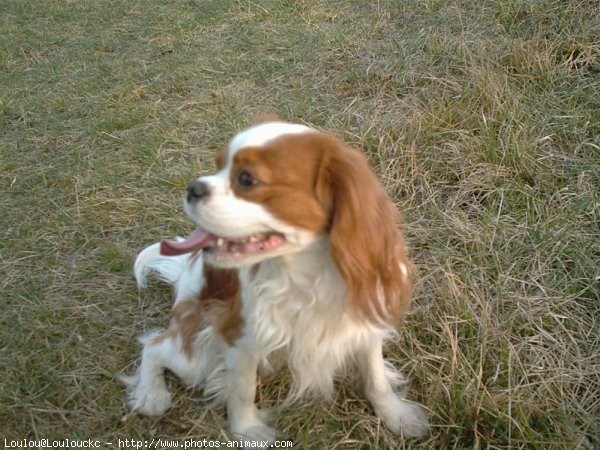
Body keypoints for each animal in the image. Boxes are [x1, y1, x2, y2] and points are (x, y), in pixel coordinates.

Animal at [124, 119, 428, 442]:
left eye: (246, 179)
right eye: (218, 165)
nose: (193, 187)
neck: (309, 271)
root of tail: (186, 275)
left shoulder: (365, 319)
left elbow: (375, 376)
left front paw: (396, 414)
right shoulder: (239, 335)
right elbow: (242, 390)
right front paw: (248, 431)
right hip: (197, 354)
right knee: (153, 345)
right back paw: (151, 394)